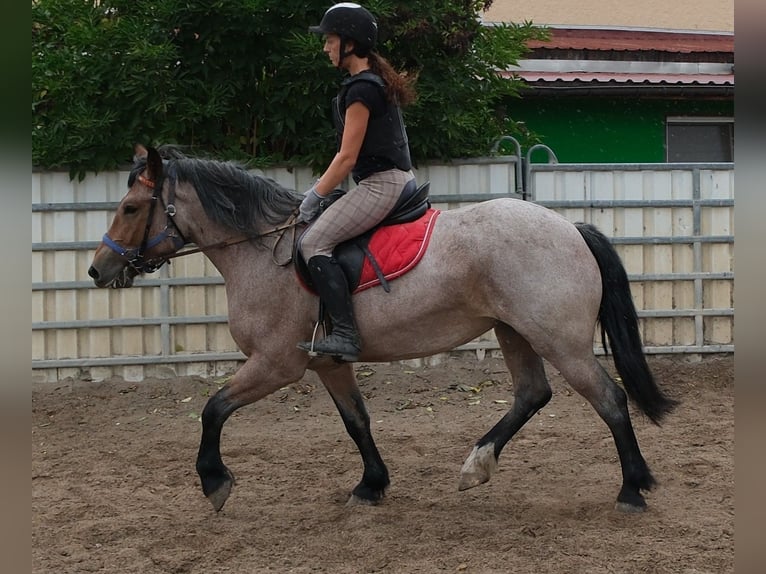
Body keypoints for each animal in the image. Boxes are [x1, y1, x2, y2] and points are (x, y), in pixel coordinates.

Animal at [88, 144, 678, 514]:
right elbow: (357, 423)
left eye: (132, 207)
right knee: (533, 394)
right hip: (513, 331)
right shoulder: (327, 362)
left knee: (610, 400)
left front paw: (214, 481)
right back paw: (477, 465)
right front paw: (371, 486)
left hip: (560, 340)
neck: (262, 251)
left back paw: (632, 489)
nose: (98, 270)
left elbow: (213, 409)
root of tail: (569, 228)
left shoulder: (277, 364)